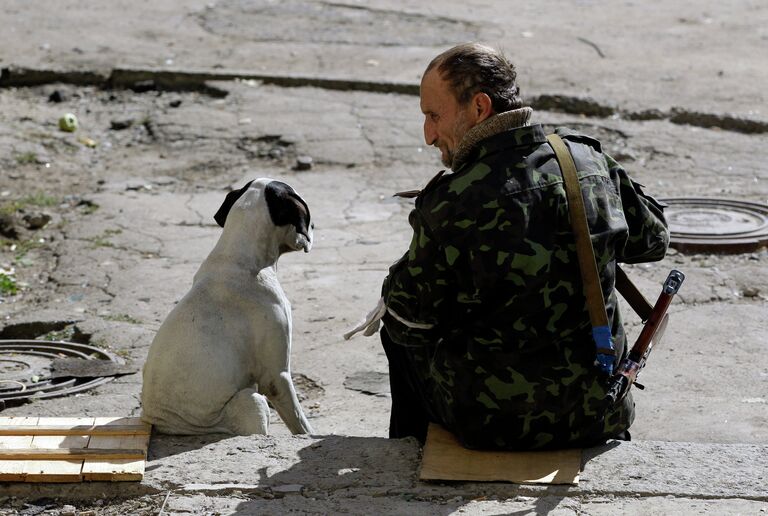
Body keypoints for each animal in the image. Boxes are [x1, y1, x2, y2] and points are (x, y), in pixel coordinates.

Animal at [142, 177, 314, 436]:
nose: (313, 229)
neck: (239, 256)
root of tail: (159, 423)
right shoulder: (277, 377)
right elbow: (300, 423)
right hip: (251, 402)